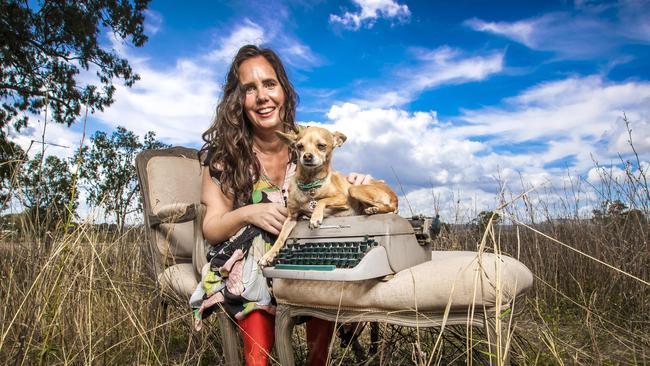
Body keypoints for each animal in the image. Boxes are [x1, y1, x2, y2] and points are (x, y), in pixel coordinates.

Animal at [256, 126, 394, 266]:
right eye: (299, 146)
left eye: (321, 146)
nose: (307, 156)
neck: (311, 184)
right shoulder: (291, 218)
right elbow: (281, 237)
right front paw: (269, 255)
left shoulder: (342, 199)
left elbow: (322, 200)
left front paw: (315, 217)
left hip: (354, 189)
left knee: (390, 208)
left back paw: (374, 209)